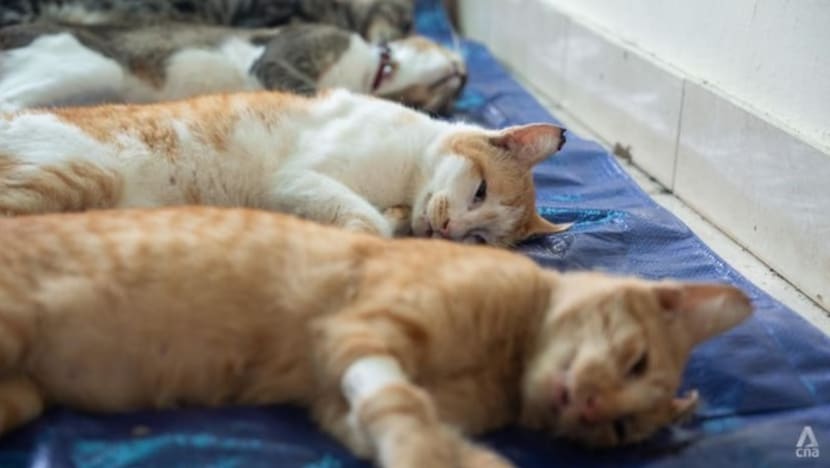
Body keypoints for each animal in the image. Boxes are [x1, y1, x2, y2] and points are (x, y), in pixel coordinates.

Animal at [0, 88, 569, 246]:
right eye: (480, 191)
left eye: (479, 239)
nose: (451, 229)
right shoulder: (297, 178)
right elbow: (365, 219)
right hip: (81, 175)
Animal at [0, 206, 753, 467]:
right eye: (636, 360)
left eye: (622, 432)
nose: (594, 409)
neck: (505, 364)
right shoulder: (362, 330)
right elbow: (402, 406)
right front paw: (433, 453)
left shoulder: (336, 403)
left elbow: (387, 420)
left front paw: (459, 455)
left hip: (24, 396)